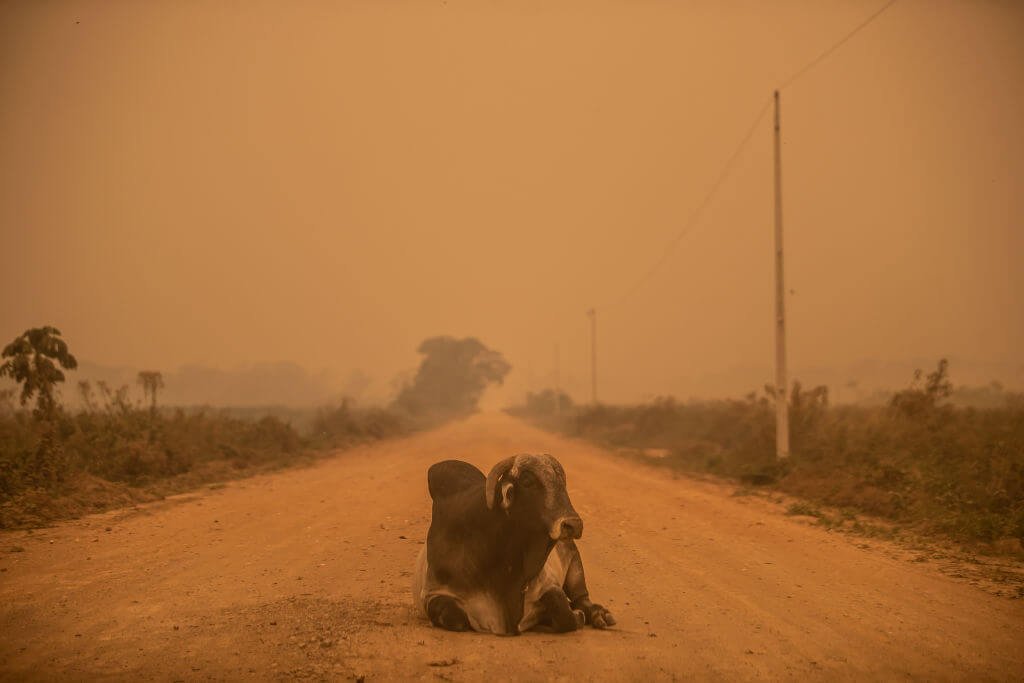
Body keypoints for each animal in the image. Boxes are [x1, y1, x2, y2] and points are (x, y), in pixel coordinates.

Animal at [409, 454, 614, 634]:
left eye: (562, 482)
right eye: (527, 482)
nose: (573, 525)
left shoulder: (549, 583)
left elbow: (563, 611)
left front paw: (575, 616)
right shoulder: (433, 594)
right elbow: (455, 618)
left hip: (574, 562)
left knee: (582, 598)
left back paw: (600, 615)